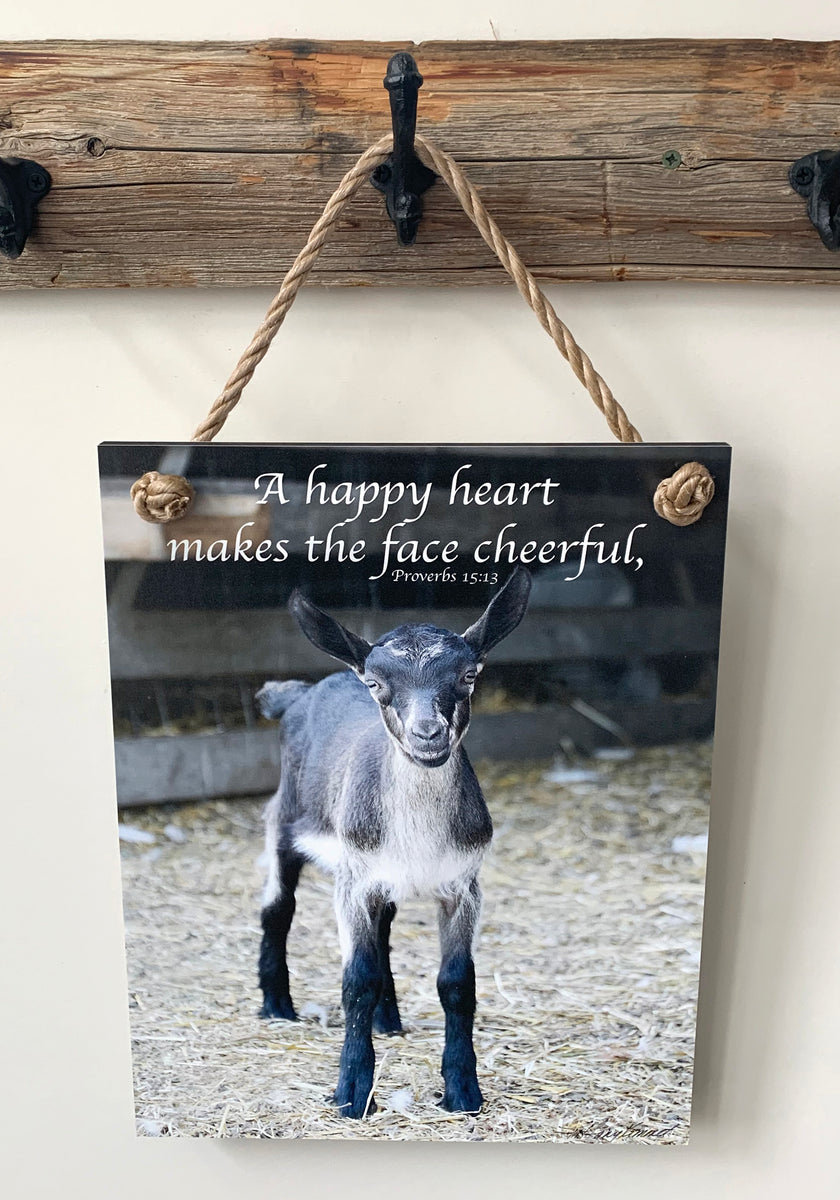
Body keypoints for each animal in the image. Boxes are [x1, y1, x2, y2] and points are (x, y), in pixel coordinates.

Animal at [256, 567, 531, 1118]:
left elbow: (457, 984)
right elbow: (356, 981)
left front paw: (463, 1092)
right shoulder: (352, 882)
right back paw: (276, 1006)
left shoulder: (463, 886)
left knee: (382, 930)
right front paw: (352, 1093)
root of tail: (298, 694)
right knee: (278, 907)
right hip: (285, 821)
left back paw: (389, 1019)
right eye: (376, 683)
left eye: (469, 675)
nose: (429, 734)